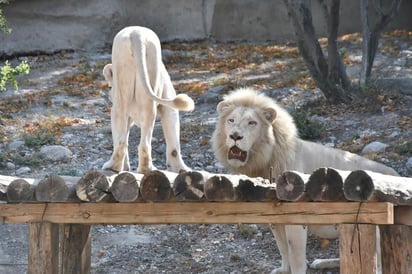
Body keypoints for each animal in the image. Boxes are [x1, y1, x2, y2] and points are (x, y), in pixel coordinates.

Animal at [102, 27, 194, 173]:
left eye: (109, 86)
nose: (109, 96)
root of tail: (136, 34)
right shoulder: (168, 104)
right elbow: (173, 140)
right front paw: (181, 169)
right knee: (140, 140)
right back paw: (145, 168)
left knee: (124, 137)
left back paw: (115, 167)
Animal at [211, 88, 398, 274]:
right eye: (231, 120)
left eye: (252, 123)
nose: (235, 136)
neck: (264, 161)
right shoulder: (274, 217)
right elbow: (283, 248)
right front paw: (283, 270)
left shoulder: (297, 218)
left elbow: (295, 256)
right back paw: (322, 262)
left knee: (377, 265)